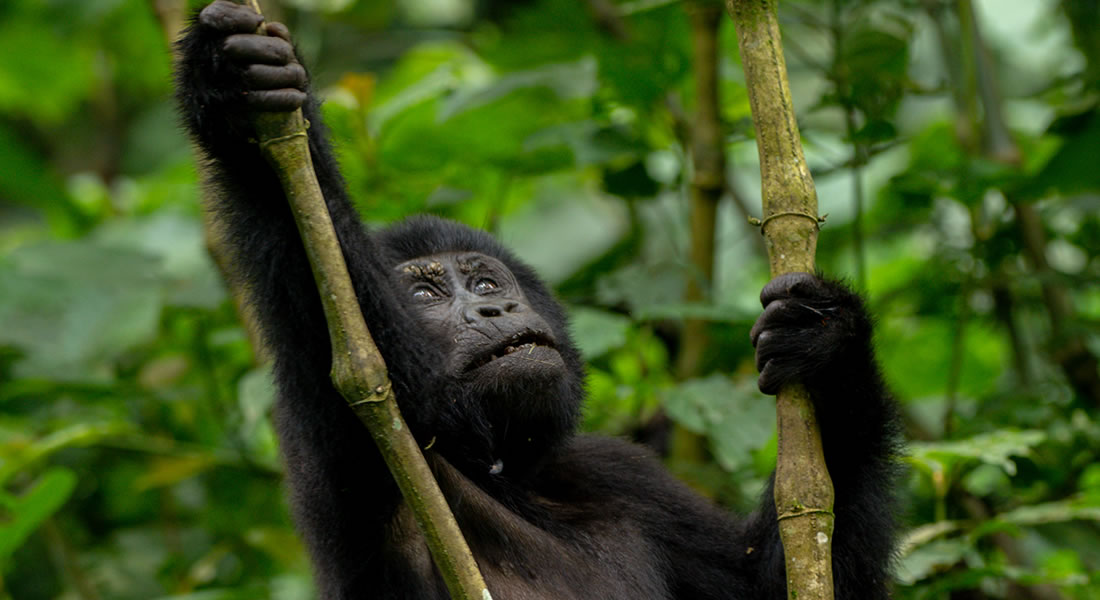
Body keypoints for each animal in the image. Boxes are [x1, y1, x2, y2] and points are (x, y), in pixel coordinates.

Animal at [176, 2, 902, 594]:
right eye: (423, 293)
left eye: (486, 284)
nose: (494, 310)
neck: (503, 472)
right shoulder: (342, 426)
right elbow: (323, 294)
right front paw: (232, 102)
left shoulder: (618, 473)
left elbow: (776, 581)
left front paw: (828, 345)